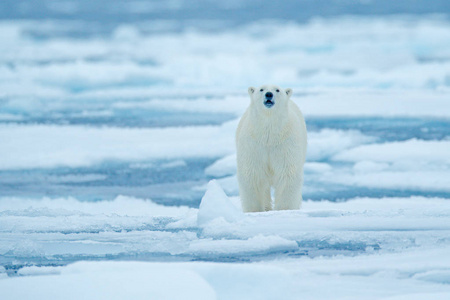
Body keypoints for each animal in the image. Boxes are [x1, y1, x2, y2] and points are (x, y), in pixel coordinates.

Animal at [236, 83, 306, 212]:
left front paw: (284, 209)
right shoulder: (253, 145)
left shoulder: (285, 144)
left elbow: (287, 173)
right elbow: (253, 173)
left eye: (277, 90)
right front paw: (255, 210)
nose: (269, 94)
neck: (269, 136)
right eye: (261, 89)